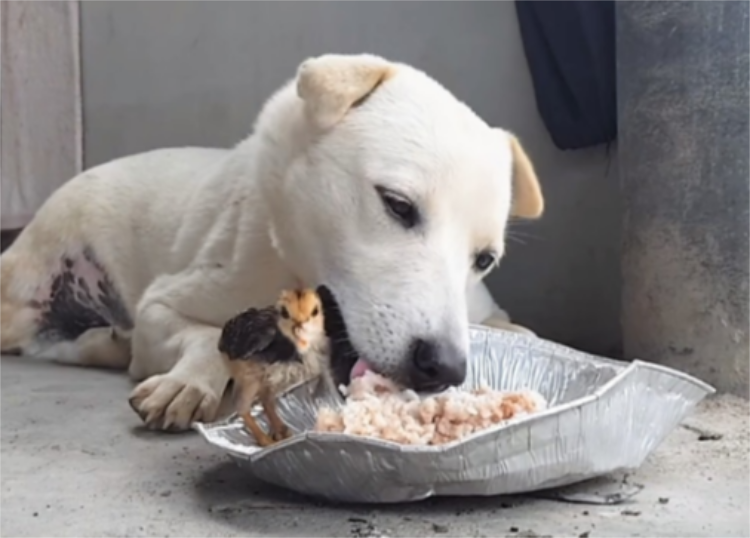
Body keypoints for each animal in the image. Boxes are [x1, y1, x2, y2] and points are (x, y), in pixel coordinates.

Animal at [0, 53, 544, 432]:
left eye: (485, 259)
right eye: (397, 205)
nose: (444, 368)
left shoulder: (484, 311)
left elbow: (519, 330)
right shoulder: (163, 304)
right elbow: (206, 336)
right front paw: (187, 383)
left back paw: (108, 343)